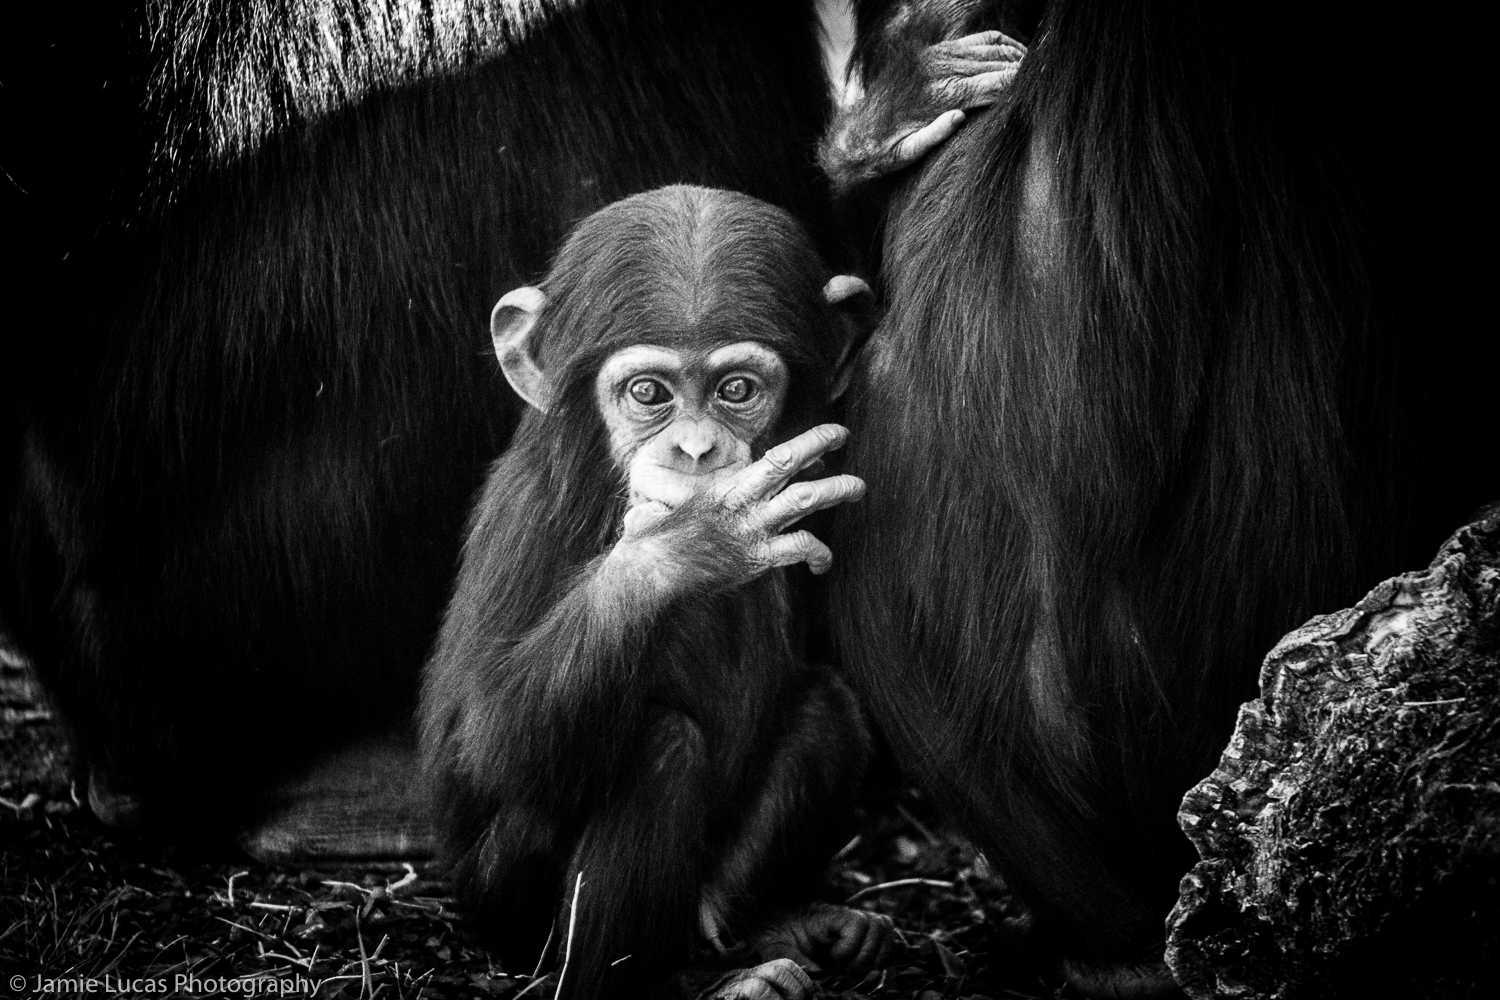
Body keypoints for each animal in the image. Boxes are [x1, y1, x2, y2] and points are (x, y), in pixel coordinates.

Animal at [420, 185, 890, 999]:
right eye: (649, 393)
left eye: (736, 390)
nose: (696, 450)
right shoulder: (525, 517)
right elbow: (484, 740)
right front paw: (697, 537)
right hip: (507, 910)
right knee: (658, 749)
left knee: (828, 709)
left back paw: (759, 932)